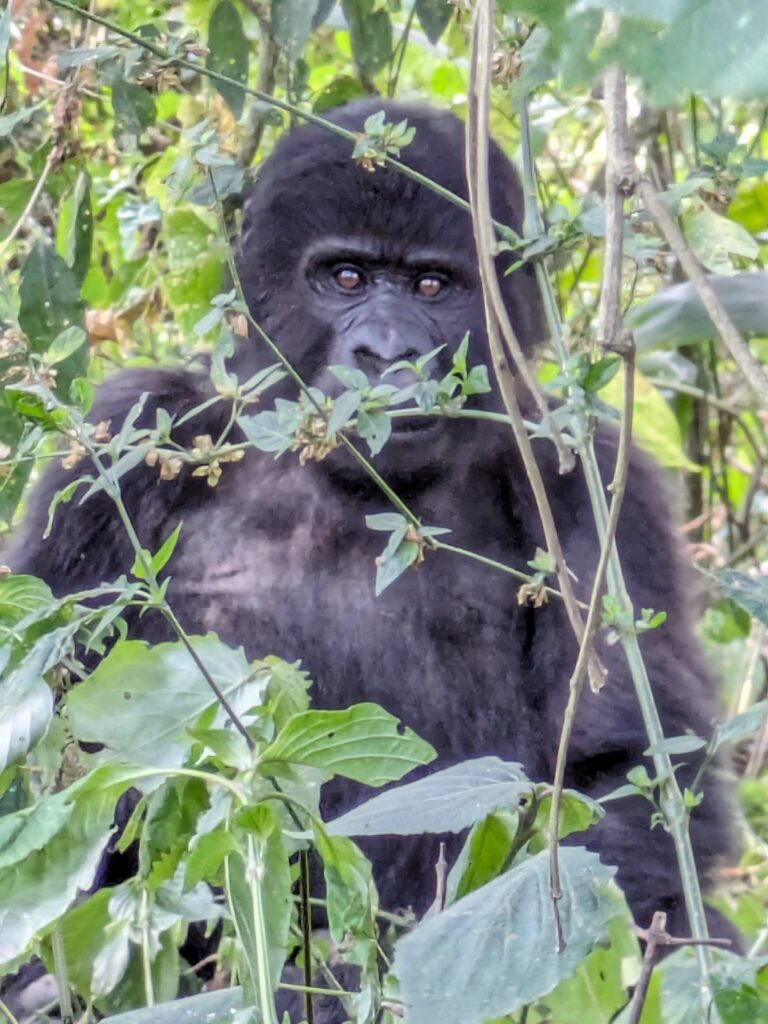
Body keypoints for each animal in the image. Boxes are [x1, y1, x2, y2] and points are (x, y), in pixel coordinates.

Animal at [7, 99, 741, 1011]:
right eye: (346, 278)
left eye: (432, 286)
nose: (387, 353)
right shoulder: (122, 439)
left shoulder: (597, 478)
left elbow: (627, 775)